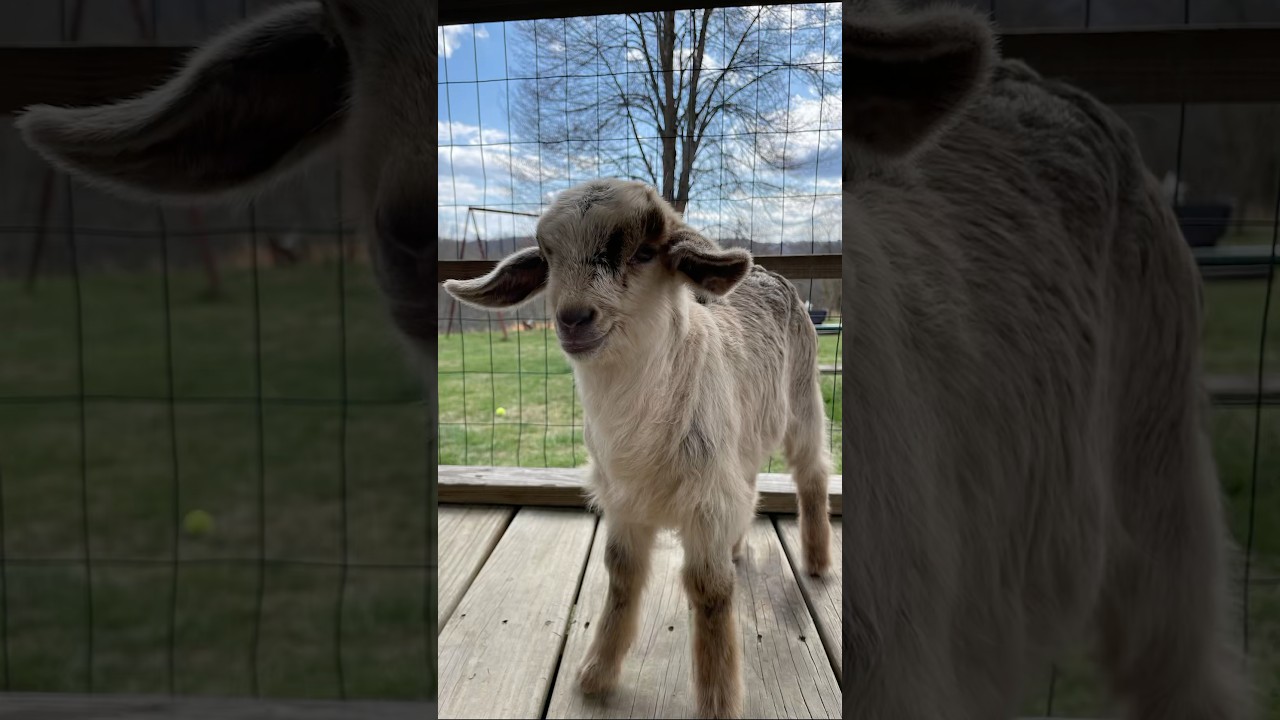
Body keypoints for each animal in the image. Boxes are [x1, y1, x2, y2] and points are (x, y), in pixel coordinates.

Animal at [444, 178, 833, 719]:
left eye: (645, 253)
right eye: (548, 258)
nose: (572, 319)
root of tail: (769, 272)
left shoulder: (706, 503)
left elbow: (710, 591)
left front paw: (718, 700)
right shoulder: (624, 502)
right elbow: (622, 577)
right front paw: (596, 675)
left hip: (803, 396)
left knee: (812, 471)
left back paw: (817, 561)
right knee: (752, 482)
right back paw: (739, 546)